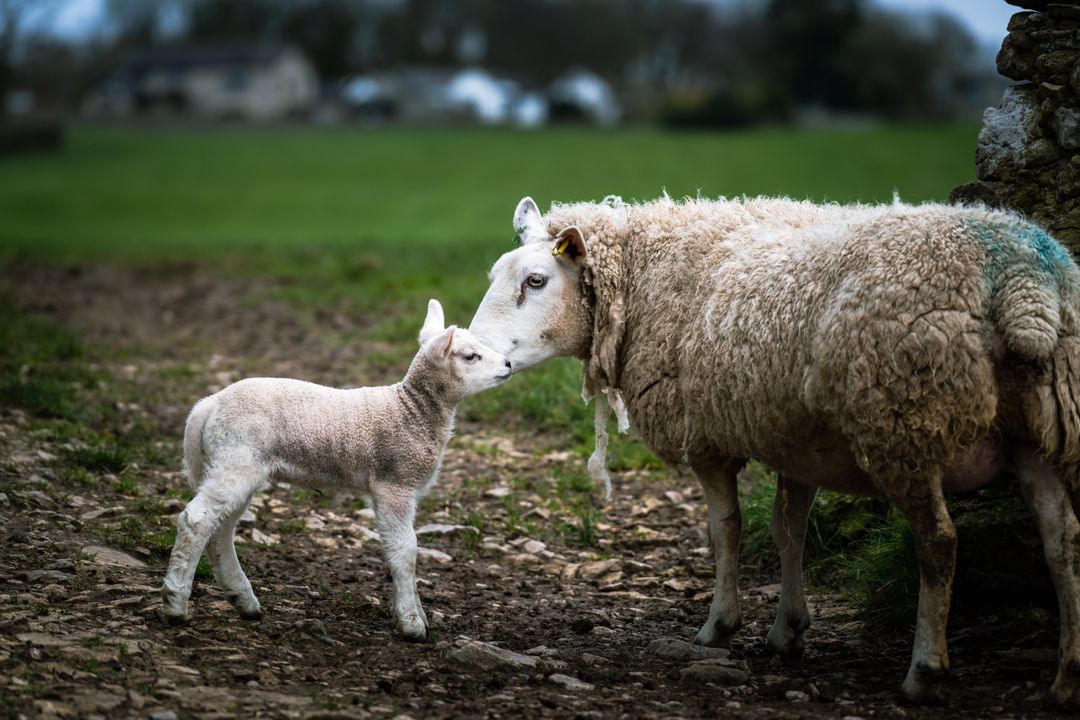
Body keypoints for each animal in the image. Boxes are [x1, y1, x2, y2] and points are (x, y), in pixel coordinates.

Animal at [160, 299, 512, 640]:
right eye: (470, 356)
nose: (508, 365)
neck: (410, 410)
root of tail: (209, 404)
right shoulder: (394, 483)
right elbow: (405, 550)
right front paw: (412, 623)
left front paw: (416, 615)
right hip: (237, 458)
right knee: (197, 520)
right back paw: (175, 604)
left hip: (238, 464)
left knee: (221, 528)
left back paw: (243, 600)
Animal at [468, 195, 1080, 705]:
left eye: (536, 280)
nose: (471, 351)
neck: (646, 278)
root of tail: (1023, 279)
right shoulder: (798, 443)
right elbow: (790, 533)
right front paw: (789, 630)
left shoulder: (707, 435)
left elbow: (726, 530)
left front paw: (720, 625)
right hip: (1042, 427)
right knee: (1062, 540)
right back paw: (1064, 680)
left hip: (903, 419)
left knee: (939, 544)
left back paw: (924, 672)